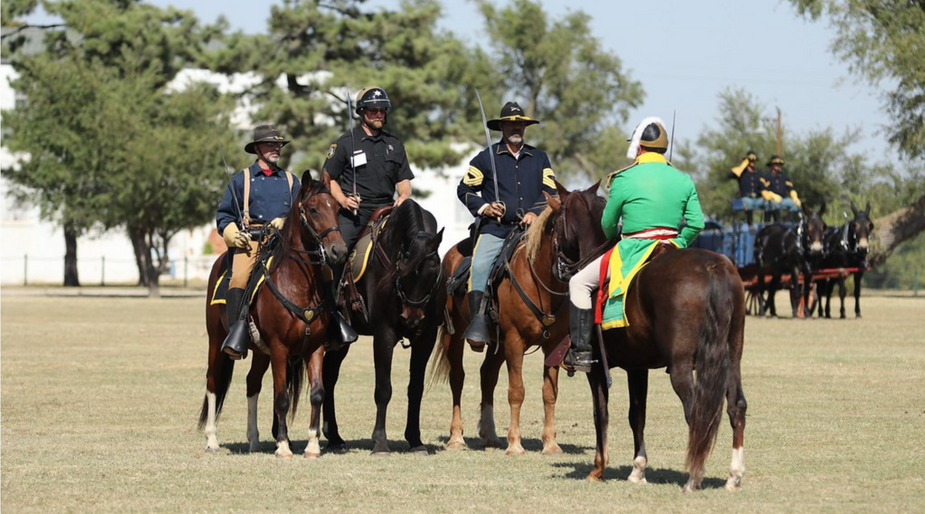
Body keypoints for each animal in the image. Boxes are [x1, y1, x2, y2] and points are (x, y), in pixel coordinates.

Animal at [199, 172, 346, 456]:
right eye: (313, 209)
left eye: (337, 208)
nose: (339, 251)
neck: (298, 285)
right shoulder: (279, 349)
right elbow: (281, 397)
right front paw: (283, 446)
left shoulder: (315, 348)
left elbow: (317, 393)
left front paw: (312, 445)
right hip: (216, 340)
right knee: (213, 383)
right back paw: (211, 440)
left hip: (260, 352)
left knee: (252, 384)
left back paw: (254, 440)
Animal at [322, 197, 444, 452]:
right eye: (402, 271)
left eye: (433, 271)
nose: (412, 318)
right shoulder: (384, 333)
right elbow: (383, 389)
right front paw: (379, 442)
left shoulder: (426, 337)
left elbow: (416, 389)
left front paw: (415, 440)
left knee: (329, 375)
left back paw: (334, 436)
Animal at [428, 183, 608, 452]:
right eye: (570, 222)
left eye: (599, 217)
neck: (541, 283)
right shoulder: (515, 341)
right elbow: (516, 391)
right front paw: (515, 444)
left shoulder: (552, 345)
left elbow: (549, 392)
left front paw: (550, 444)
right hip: (455, 335)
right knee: (457, 378)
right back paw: (457, 437)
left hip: (498, 343)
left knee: (487, 376)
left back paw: (490, 434)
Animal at [564, 187, 752, 488]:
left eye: (556, 220)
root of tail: (712, 268)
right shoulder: (637, 368)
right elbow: (636, 416)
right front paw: (637, 470)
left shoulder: (596, 370)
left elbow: (600, 414)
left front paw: (598, 469)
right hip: (731, 360)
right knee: (736, 407)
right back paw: (733, 476)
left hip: (681, 367)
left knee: (696, 411)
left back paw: (694, 477)